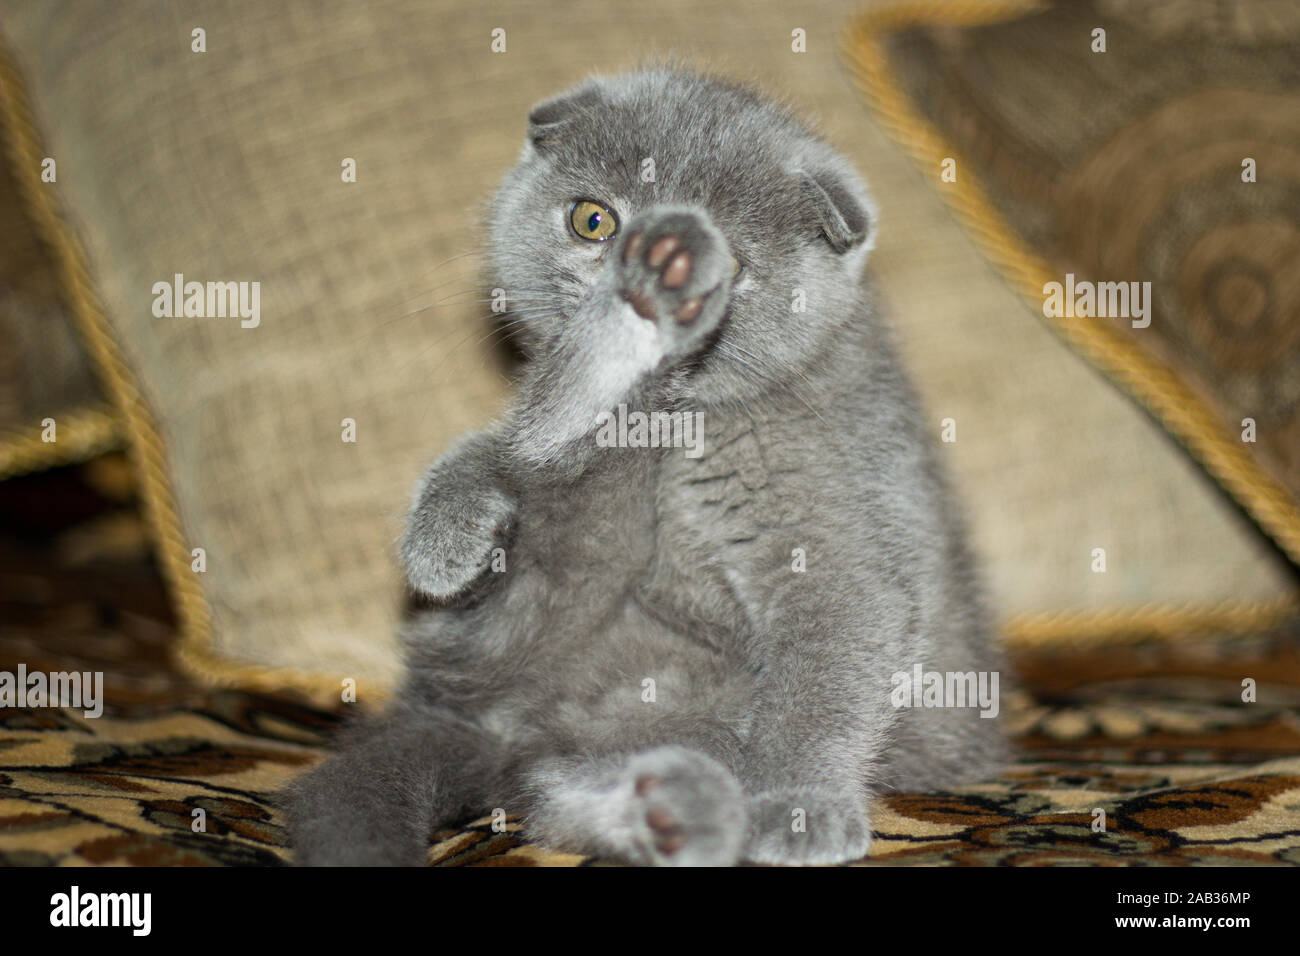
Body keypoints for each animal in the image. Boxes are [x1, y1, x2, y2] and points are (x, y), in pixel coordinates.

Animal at [289, 67, 1008, 868]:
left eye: (736, 259)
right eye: (592, 220)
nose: (636, 254)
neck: (682, 423)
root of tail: (508, 725)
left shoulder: (840, 533)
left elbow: (826, 676)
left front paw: (801, 805)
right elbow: (511, 438)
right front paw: (448, 528)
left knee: (564, 779)